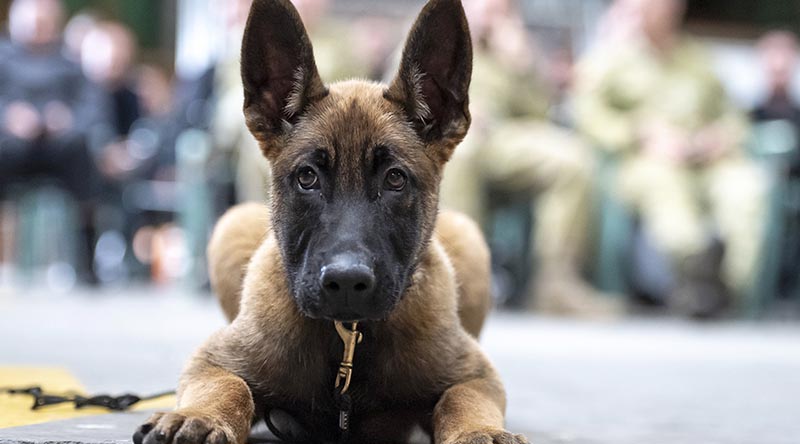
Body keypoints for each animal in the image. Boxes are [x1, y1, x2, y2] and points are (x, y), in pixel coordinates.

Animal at [134, 0, 528, 444]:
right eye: (308, 177)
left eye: (395, 179)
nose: (346, 282)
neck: (349, 335)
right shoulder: (213, 359)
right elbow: (228, 385)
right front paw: (199, 414)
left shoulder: (476, 374)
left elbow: (461, 399)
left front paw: (479, 429)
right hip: (231, 224)